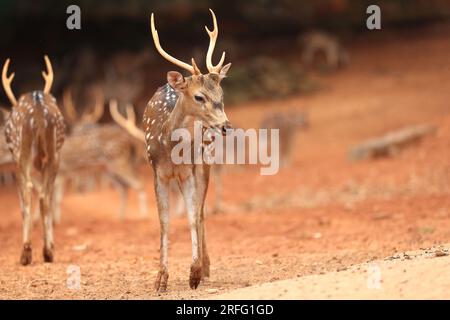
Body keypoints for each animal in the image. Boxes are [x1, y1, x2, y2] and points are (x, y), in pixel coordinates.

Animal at [1, 55, 65, 264]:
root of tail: (37, 111)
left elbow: (23, 204)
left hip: (22, 153)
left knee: (29, 193)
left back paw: (26, 253)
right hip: (54, 154)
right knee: (45, 195)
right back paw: (48, 252)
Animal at [143, 10, 232, 292]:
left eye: (221, 93)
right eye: (199, 96)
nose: (226, 125)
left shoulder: (189, 171)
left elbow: (193, 217)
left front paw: (194, 273)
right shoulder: (157, 173)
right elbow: (164, 221)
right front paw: (160, 279)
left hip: (204, 165)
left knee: (201, 211)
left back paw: (206, 267)